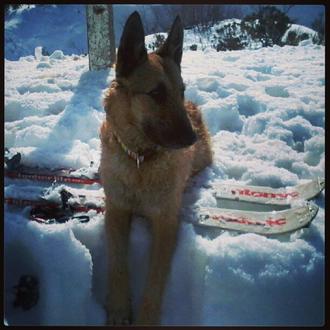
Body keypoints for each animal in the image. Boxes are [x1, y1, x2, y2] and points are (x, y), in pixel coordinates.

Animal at [99, 10, 213, 324]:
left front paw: (146, 318)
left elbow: (155, 278)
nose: (191, 139)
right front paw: (118, 308)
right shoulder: (116, 210)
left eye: (180, 91)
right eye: (156, 93)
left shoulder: (166, 223)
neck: (140, 160)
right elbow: (116, 261)